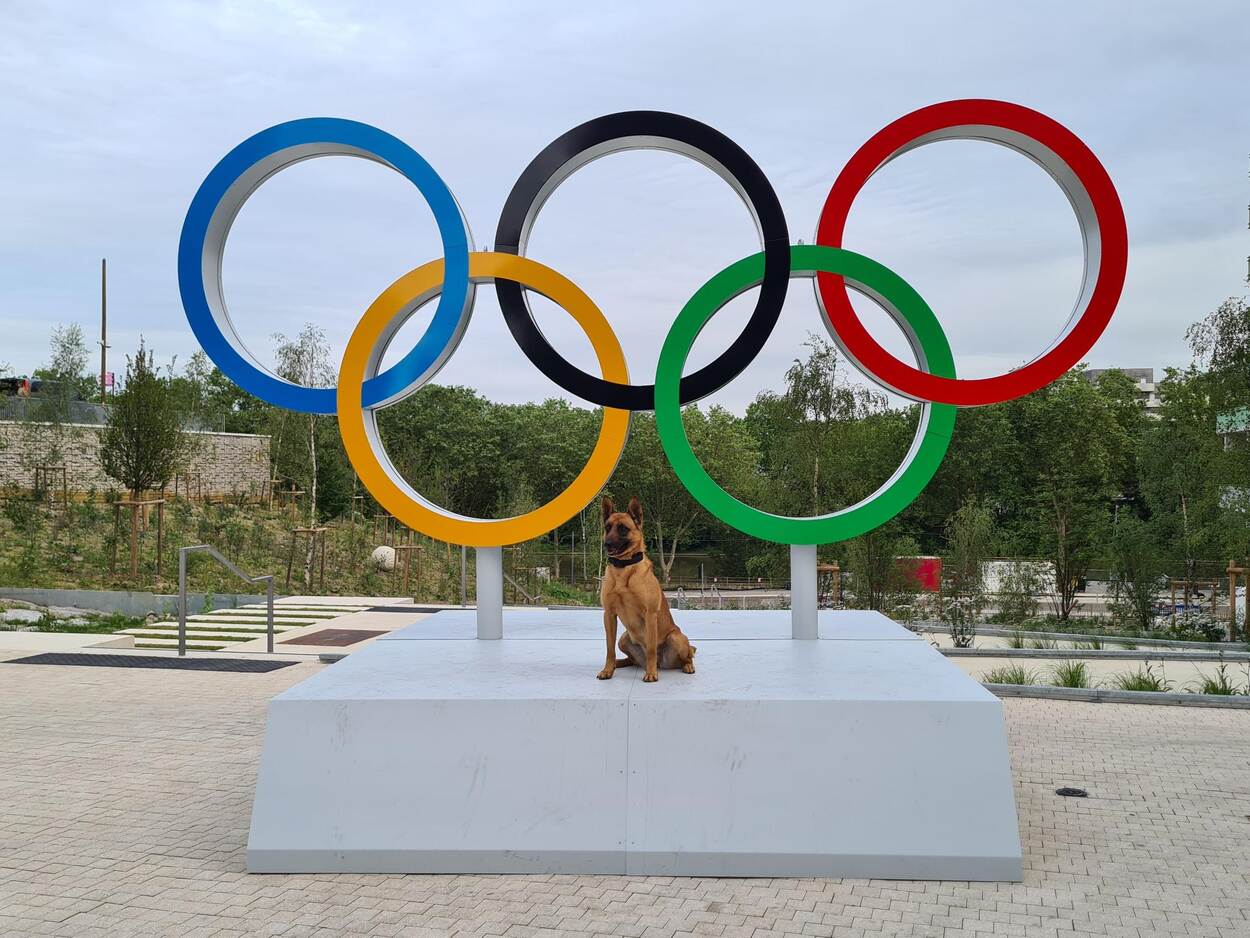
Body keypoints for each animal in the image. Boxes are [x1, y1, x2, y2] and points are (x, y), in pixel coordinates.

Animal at [595, 500, 695, 685]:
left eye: (623, 528)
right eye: (607, 527)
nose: (607, 544)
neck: (624, 568)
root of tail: (662, 663)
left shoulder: (649, 614)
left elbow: (651, 649)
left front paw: (651, 674)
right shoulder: (609, 615)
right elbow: (609, 648)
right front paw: (607, 670)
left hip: (676, 638)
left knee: (688, 657)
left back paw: (687, 666)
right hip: (624, 638)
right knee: (630, 659)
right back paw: (618, 664)